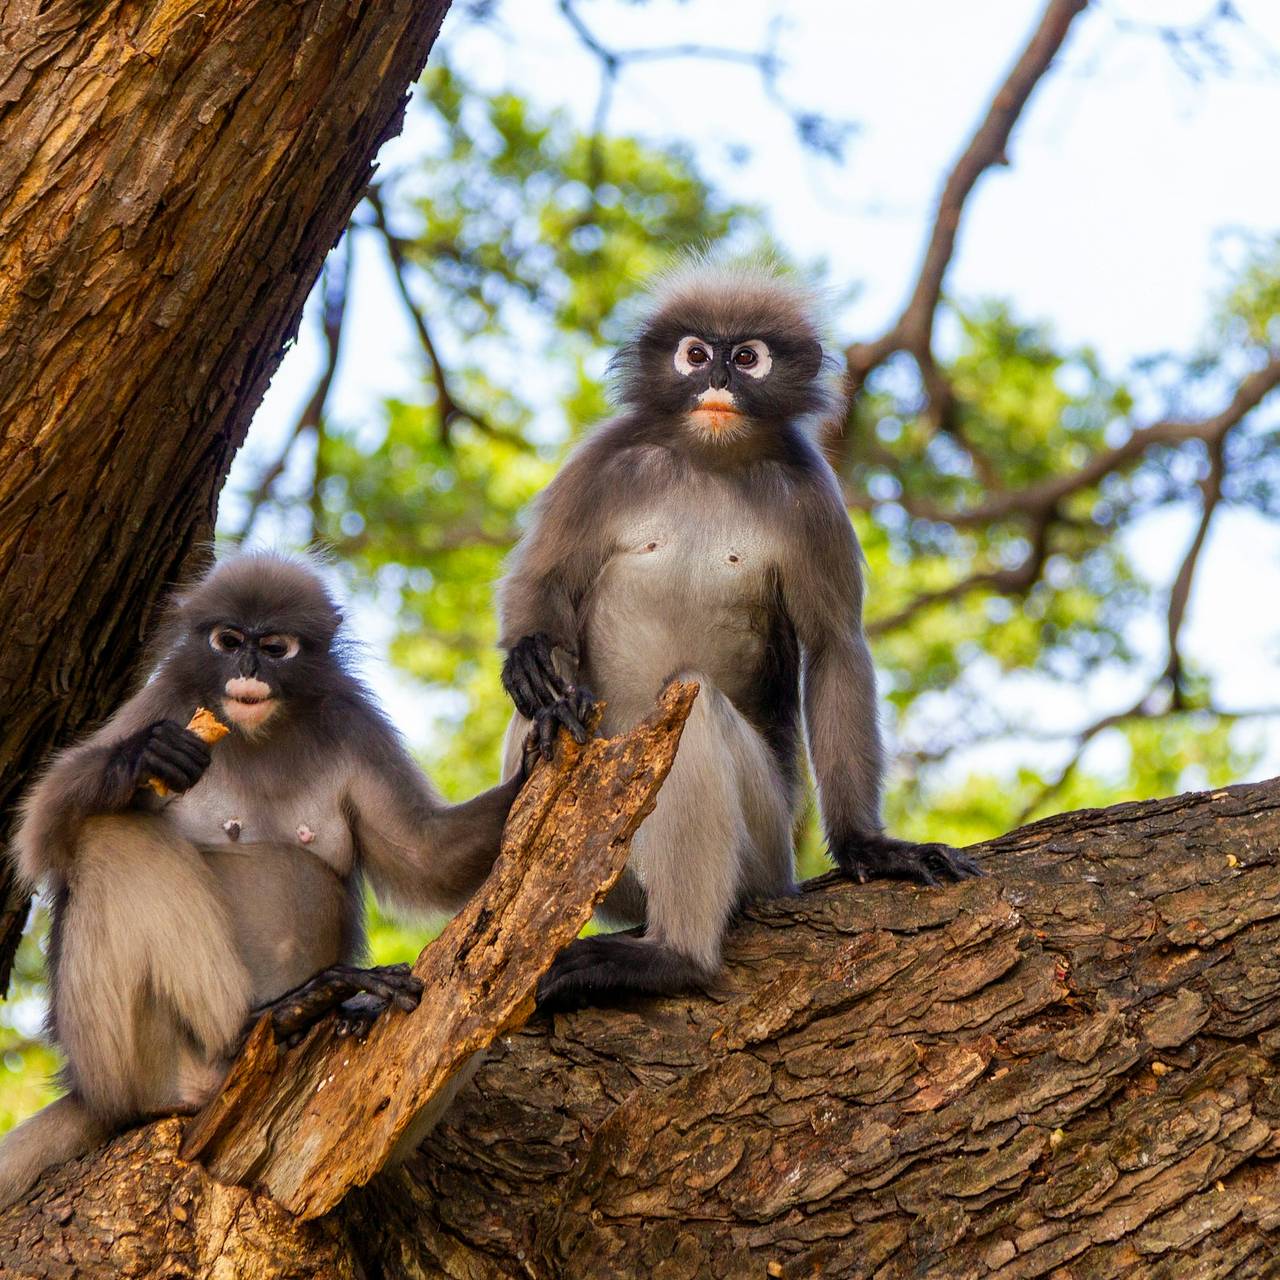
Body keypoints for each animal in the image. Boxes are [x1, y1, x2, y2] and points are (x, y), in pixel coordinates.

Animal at [0, 552, 524, 1208]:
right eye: (229, 641)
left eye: (274, 647)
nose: (247, 666)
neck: (258, 732)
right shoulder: (167, 701)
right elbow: (41, 832)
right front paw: (143, 758)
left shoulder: (354, 724)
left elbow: (423, 854)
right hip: (124, 1060)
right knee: (108, 834)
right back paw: (273, 1018)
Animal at [499, 254, 977, 1008]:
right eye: (696, 355)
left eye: (746, 358)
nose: (717, 379)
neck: (708, 457)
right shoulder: (603, 460)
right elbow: (538, 587)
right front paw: (529, 661)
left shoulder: (811, 496)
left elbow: (836, 649)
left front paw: (868, 847)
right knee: (544, 708)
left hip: (760, 849)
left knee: (694, 710)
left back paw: (674, 958)